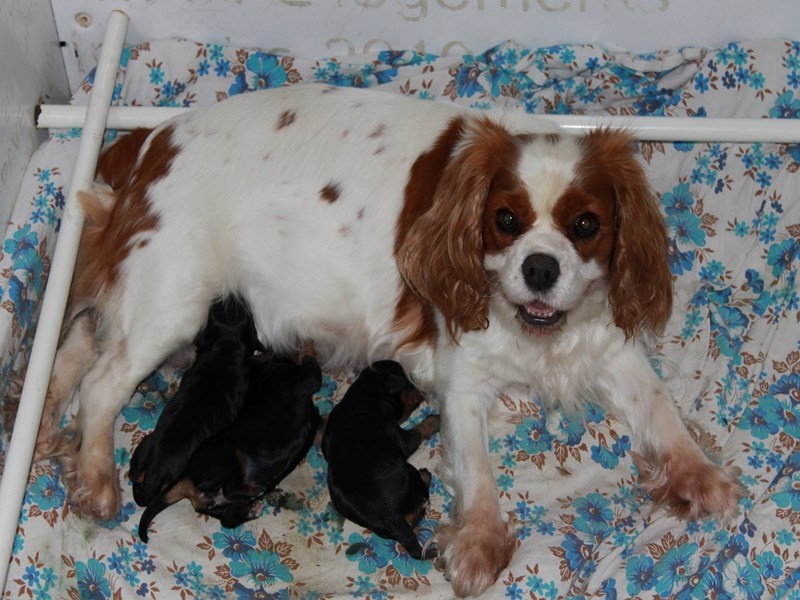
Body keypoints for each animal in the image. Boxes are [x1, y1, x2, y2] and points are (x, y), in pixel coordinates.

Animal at [138, 352, 322, 540]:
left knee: (227, 518)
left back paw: (251, 510)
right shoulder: (305, 377)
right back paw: (257, 491)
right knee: (230, 489)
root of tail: (186, 476)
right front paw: (307, 354)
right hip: (230, 450)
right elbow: (313, 366)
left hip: (215, 503)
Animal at [322, 360, 440, 564]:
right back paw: (425, 475)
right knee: (421, 497)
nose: (421, 388)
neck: (365, 393)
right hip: (408, 471)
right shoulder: (400, 437)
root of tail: (388, 517)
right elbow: (420, 429)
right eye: (408, 384)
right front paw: (435, 420)